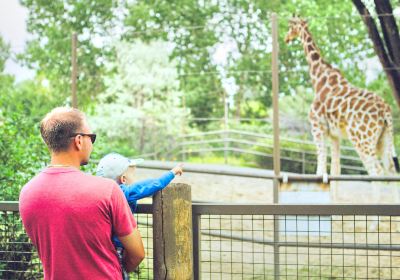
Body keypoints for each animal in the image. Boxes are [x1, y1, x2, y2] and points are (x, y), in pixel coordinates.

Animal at [282, 15, 398, 176]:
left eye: (291, 26)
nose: (286, 38)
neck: (319, 79)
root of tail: (385, 111)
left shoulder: (317, 128)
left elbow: (321, 169)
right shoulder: (334, 135)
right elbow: (335, 170)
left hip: (361, 140)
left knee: (377, 171)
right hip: (383, 139)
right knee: (391, 170)